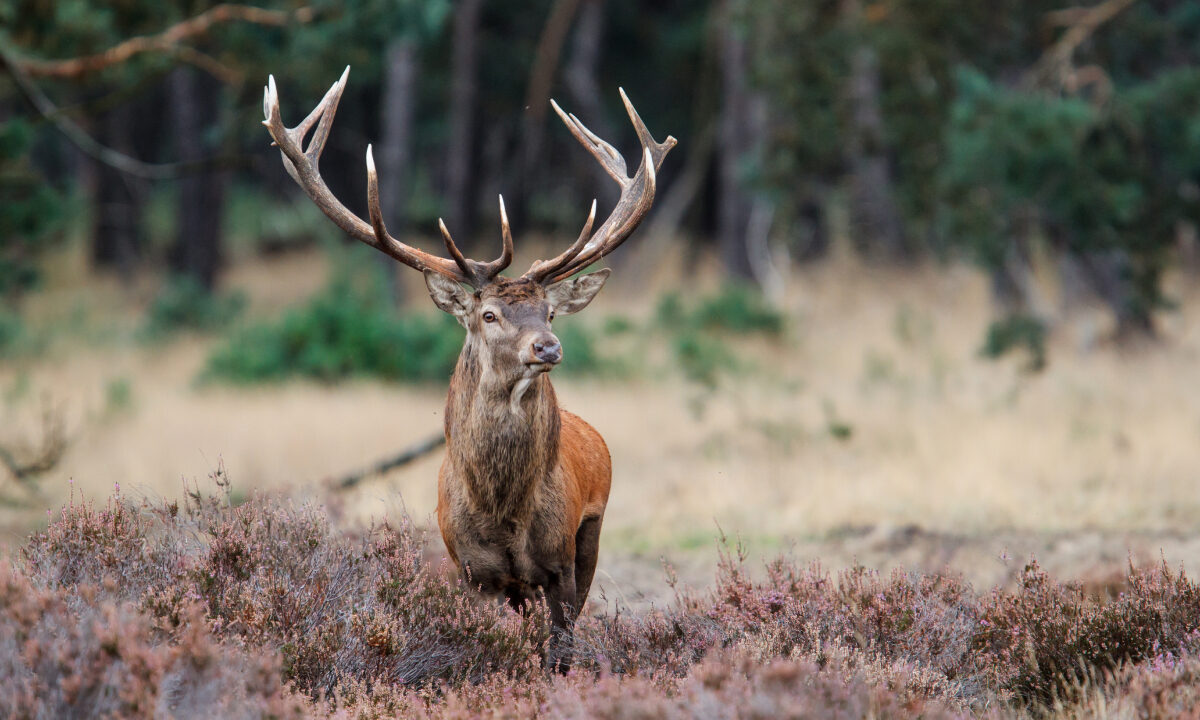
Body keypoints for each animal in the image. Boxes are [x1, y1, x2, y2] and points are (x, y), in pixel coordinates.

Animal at [262, 67, 674, 670]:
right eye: (489, 314)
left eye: (550, 311)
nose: (548, 347)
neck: (503, 512)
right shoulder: (471, 572)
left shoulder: (559, 565)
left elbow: (560, 650)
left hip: (591, 534)